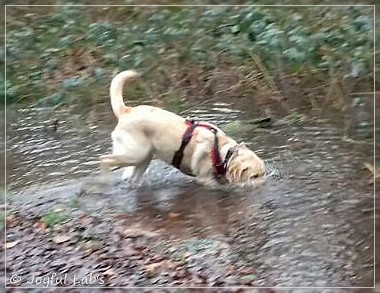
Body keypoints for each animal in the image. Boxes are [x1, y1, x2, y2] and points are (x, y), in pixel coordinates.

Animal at [99, 69, 266, 186]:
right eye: (255, 176)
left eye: (263, 173)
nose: (265, 183)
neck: (222, 154)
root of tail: (126, 110)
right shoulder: (205, 179)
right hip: (135, 154)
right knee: (104, 159)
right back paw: (104, 180)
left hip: (145, 157)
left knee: (134, 178)